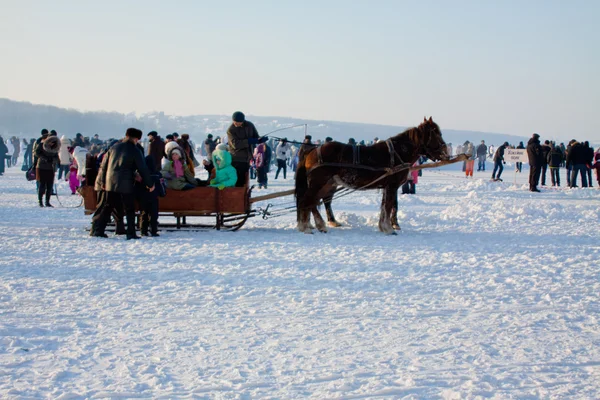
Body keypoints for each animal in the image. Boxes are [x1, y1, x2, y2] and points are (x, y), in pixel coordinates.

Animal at [292, 117, 448, 233]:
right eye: (436, 133)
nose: (446, 152)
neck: (398, 153)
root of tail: (312, 150)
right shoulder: (392, 186)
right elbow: (389, 205)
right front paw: (389, 228)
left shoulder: (387, 186)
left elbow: (385, 206)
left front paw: (384, 226)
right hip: (319, 182)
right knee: (307, 201)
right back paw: (306, 227)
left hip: (327, 184)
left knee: (314, 202)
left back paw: (318, 225)